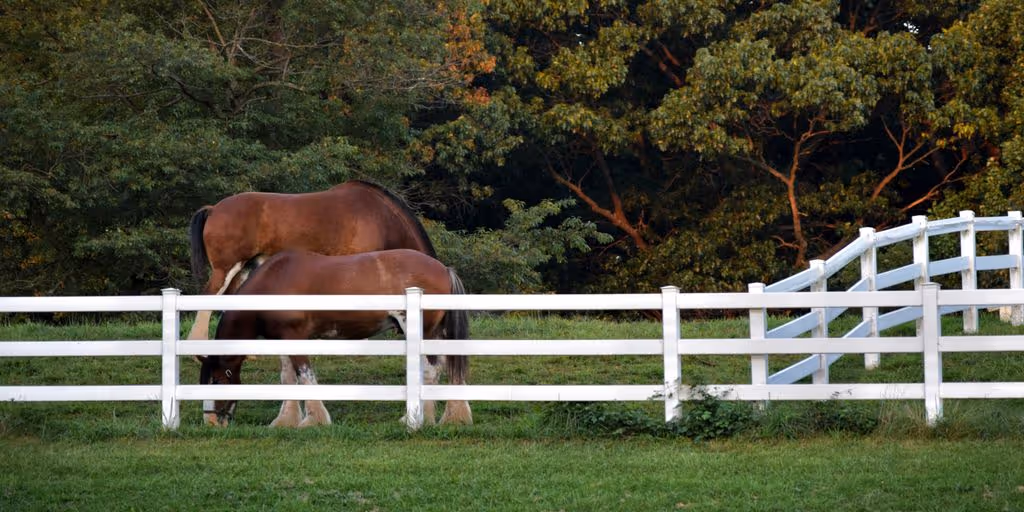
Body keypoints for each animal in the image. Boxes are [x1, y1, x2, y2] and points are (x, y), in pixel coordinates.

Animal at [198, 249, 472, 429]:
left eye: (218, 380)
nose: (210, 420)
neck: (274, 283)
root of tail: (443, 268)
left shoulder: (296, 338)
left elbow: (305, 376)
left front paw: (315, 420)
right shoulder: (282, 340)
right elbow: (288, 378)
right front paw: (286, 420)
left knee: (430, 370)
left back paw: (418, 418)